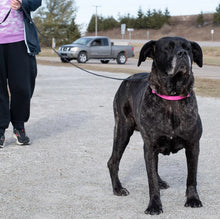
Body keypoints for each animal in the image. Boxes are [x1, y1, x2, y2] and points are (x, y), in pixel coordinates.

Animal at [107, 36, 203, 215]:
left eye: (188, 47)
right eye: (167, 48)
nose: (183, 53)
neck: (172, 98)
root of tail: (128, 79)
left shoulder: (193, 145)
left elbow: (191, 176)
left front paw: (193, 199)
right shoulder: (150, 146)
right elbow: (150, 180)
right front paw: (154, 205)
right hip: (122, 131)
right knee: (113, 161)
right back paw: (118, 188)